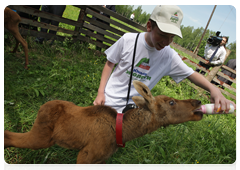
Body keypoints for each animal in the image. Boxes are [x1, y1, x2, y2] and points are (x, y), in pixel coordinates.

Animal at [4, 80, 202, 169]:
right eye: (171, 102)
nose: (198, 102)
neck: (123, 133)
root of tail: (42, 106)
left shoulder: (102, 159)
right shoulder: (85, 157)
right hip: (41, 137)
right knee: (9, 136)